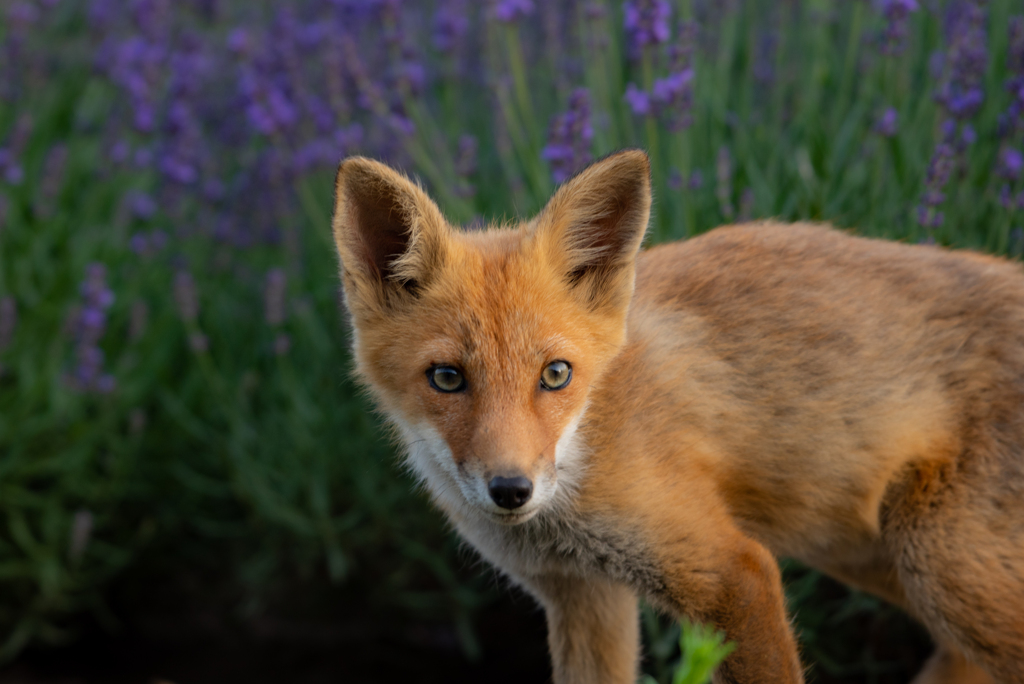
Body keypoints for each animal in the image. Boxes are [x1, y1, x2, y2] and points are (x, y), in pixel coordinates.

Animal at [329, 150, 1024, 684]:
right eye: (447, 378)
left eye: (555, 374)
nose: (511, 490)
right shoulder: (585, 595)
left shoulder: (732, 574)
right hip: (873, 553)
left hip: (939, 567)